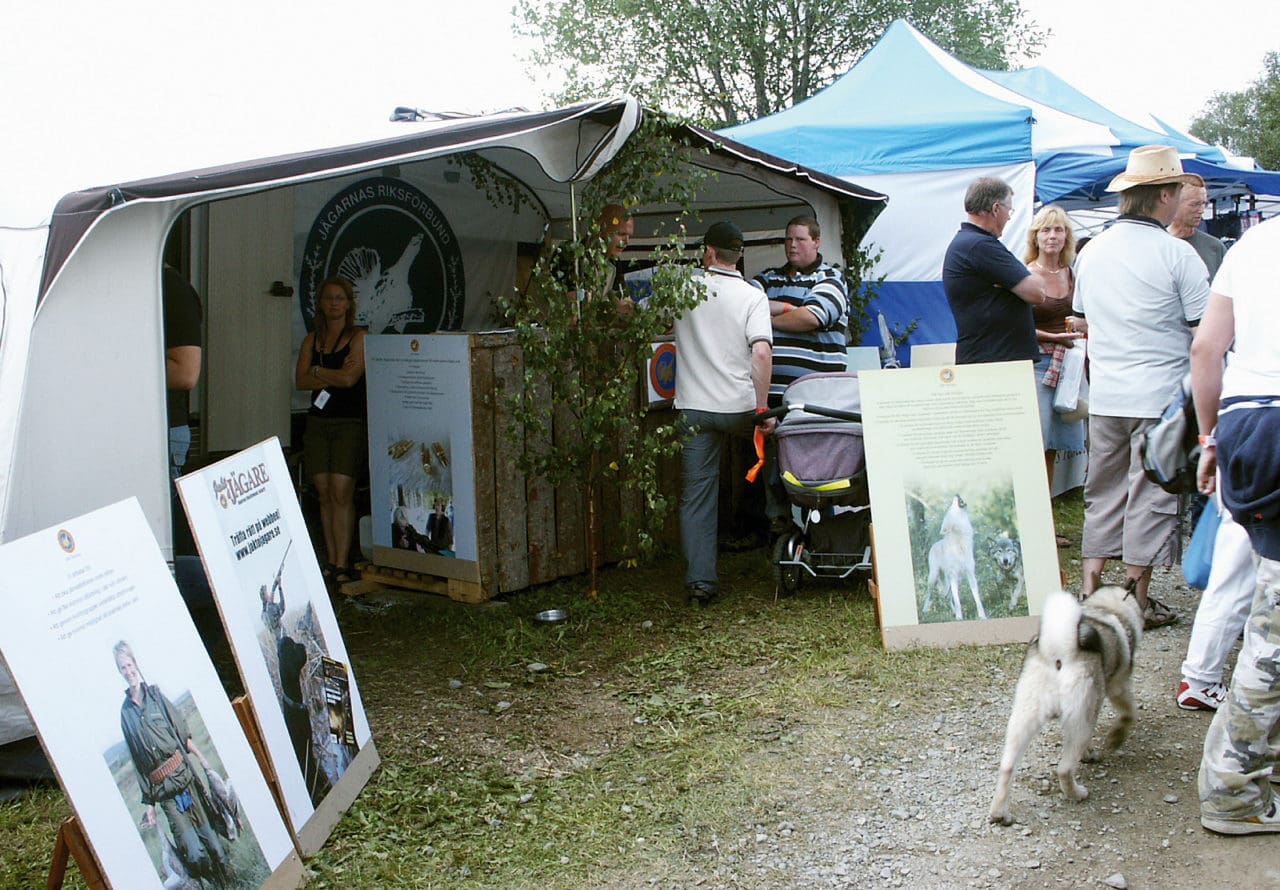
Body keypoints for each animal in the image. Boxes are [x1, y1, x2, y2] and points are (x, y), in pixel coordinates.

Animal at [983, 583, 1146, 829]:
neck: (1106, 608)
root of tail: (1059, 653)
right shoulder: (1118, 687)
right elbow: (1129, 715)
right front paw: (1115, 739)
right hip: (1082, 724)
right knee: (1064, 769)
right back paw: (1077, 794)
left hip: (1023, 719)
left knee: (1007, 766)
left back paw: (1000, 814)